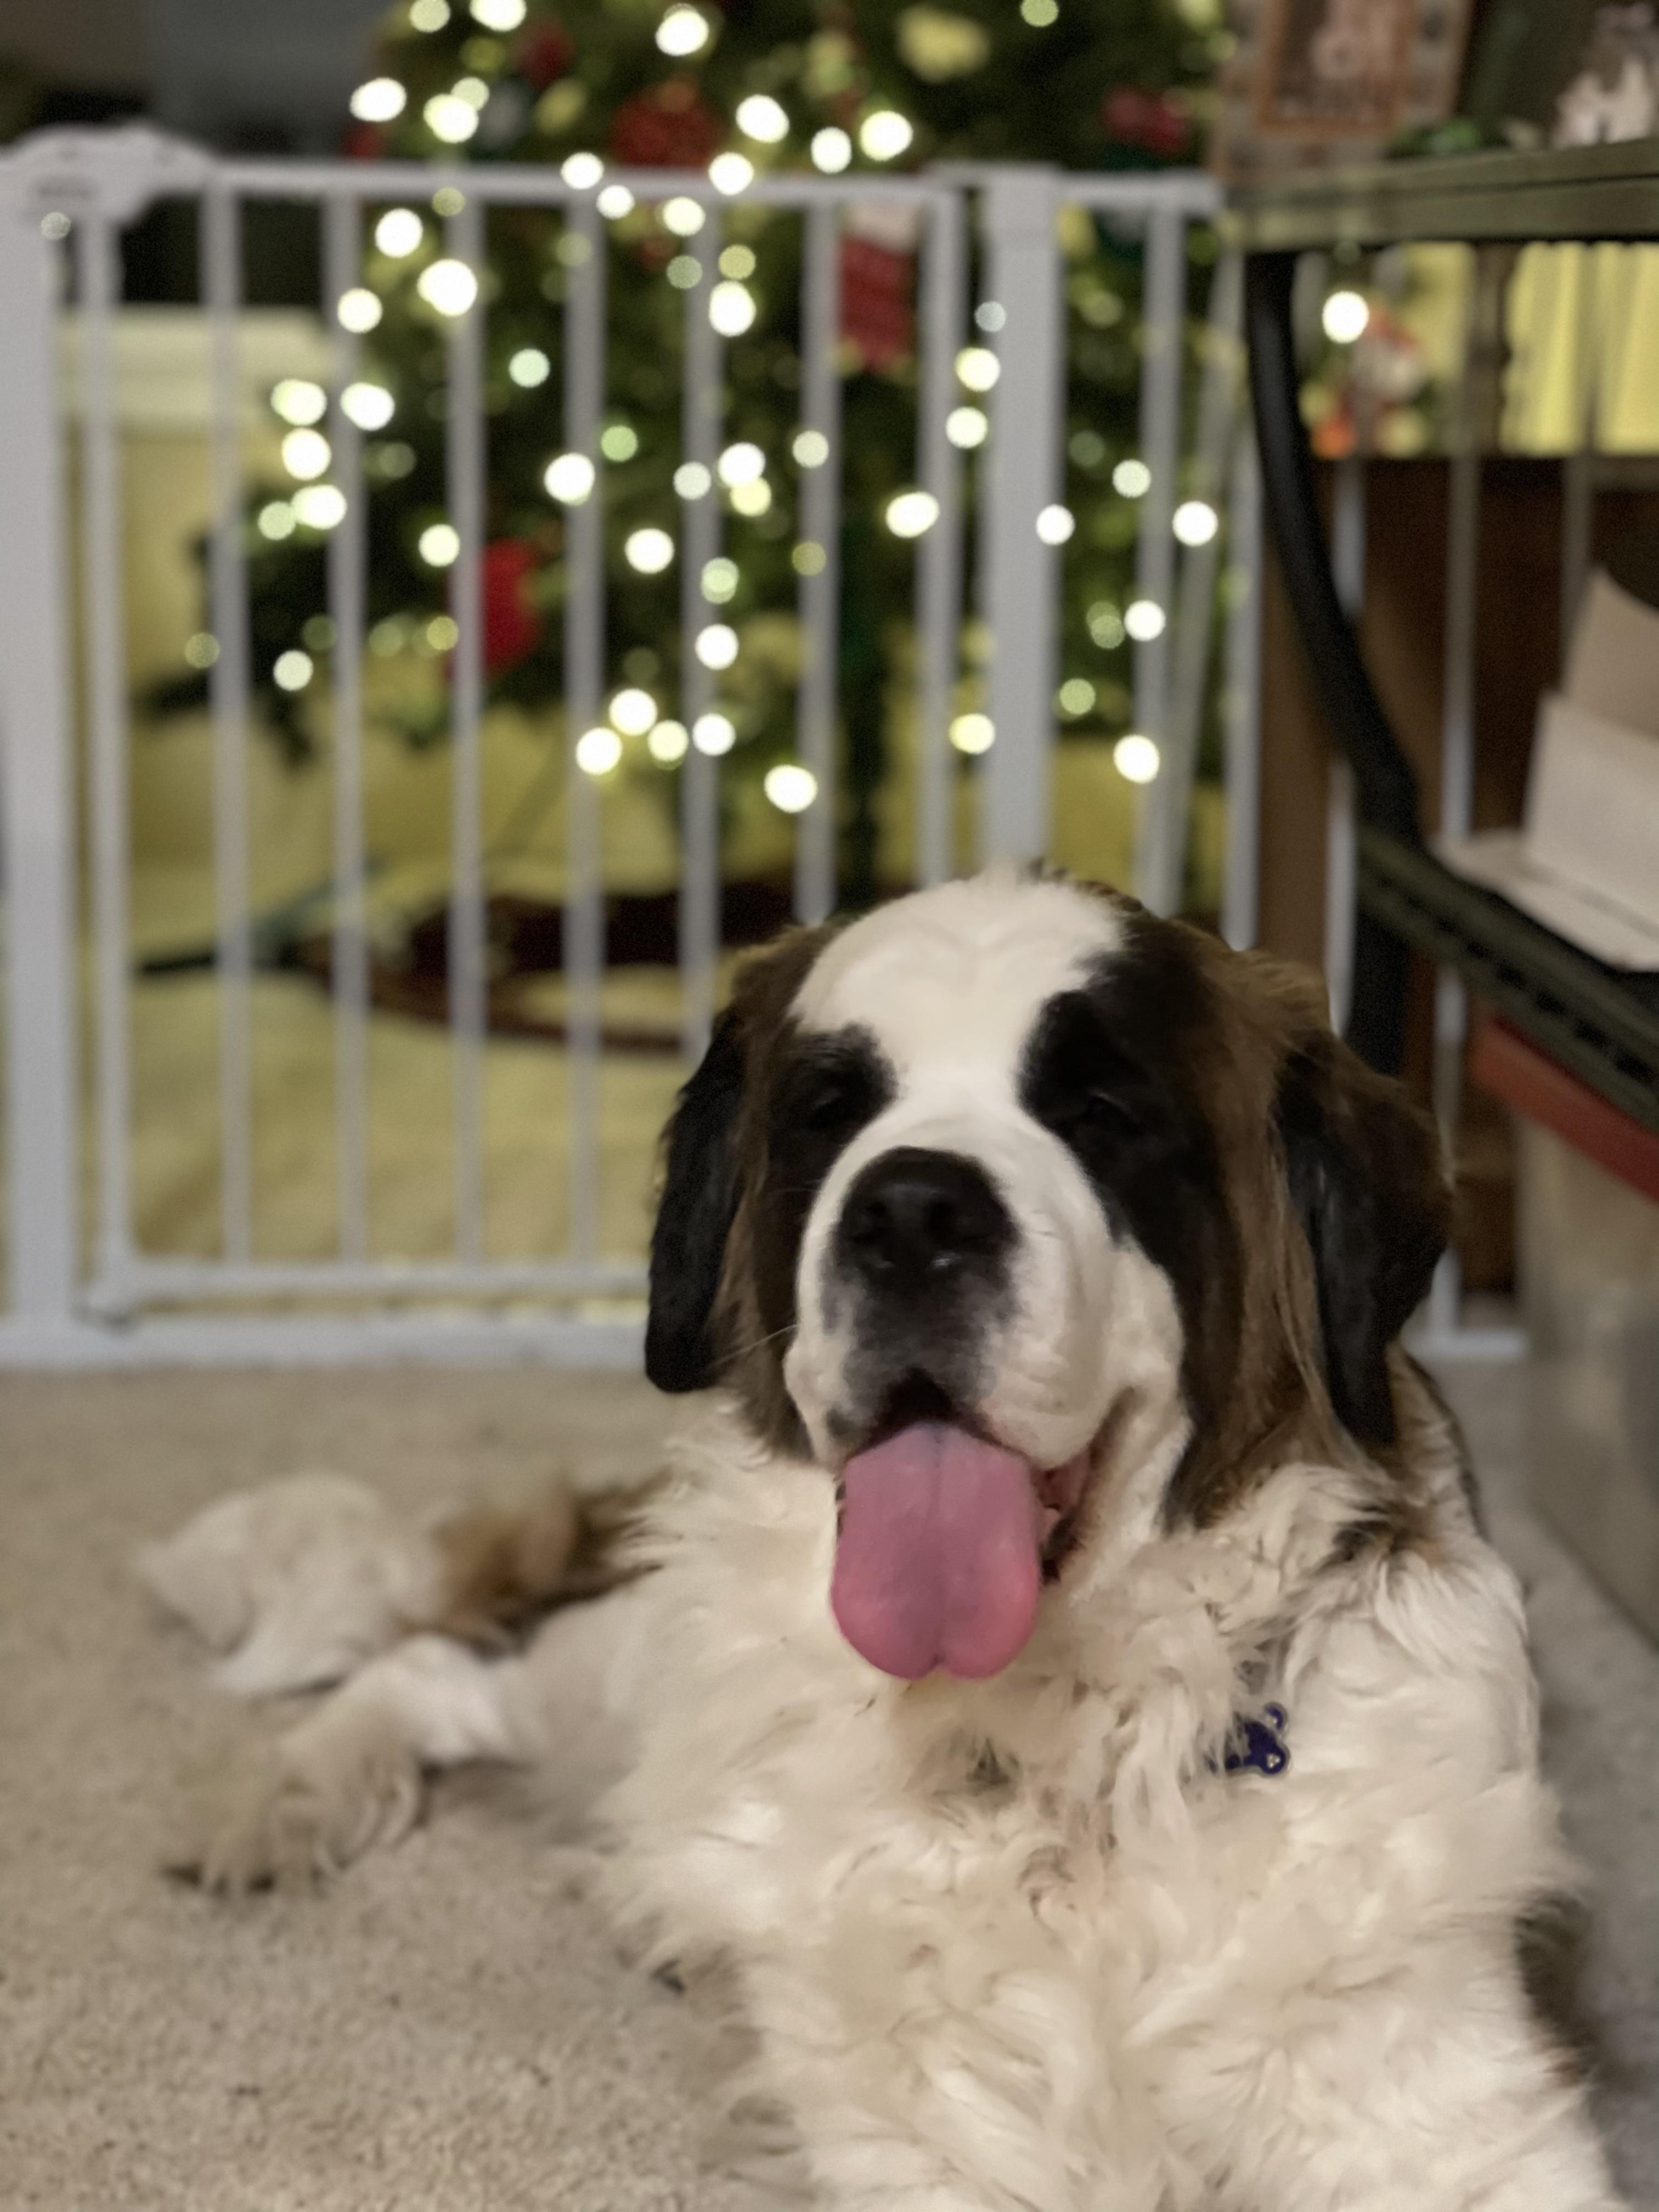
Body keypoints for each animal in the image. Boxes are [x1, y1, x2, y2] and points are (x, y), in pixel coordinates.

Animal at [146, 873, 1624, 2211]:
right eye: (830, 1114)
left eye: (1102, 1115)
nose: (911, 1211)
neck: (1059, 1771)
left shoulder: (1447, 2111)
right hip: (618, 1679)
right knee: (449, 1664)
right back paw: (289, 1801)